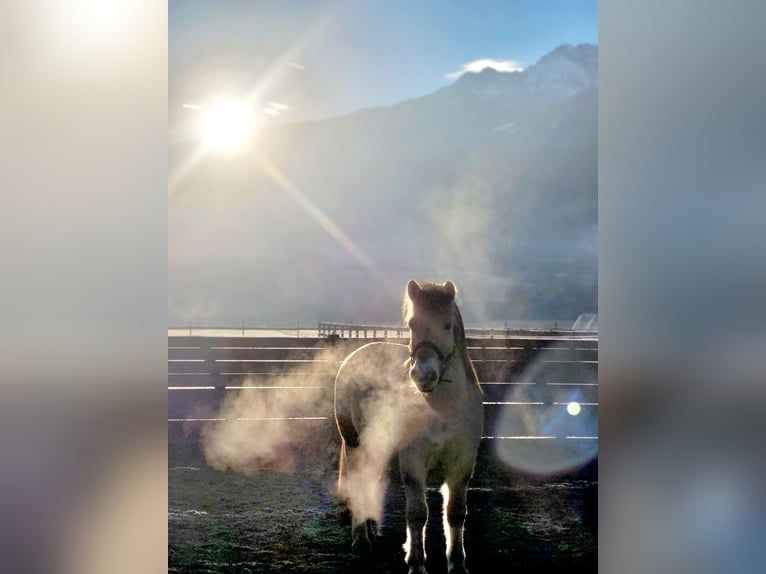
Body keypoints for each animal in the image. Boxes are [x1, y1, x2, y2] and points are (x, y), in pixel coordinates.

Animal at [332, 282, 484, 572]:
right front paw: (416, 562)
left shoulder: (463, 461)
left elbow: (456, 512)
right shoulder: (413, 459)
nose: (423, 376)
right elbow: (417, 514)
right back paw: (361, 540)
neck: (440, 408)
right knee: (359, 480)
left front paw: (457, 563)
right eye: (412, 324)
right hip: (356, 443)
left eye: (447, 325)